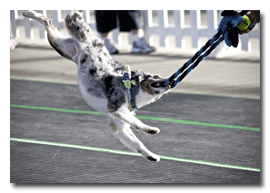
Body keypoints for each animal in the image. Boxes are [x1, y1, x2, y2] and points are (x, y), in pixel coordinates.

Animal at [23, 10, 175, 161]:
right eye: (156, 77)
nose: (171, 81)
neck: (131, 89)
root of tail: (89, 41)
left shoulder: (119, 124)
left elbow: (136, 143)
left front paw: (151, 155)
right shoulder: (116, 108)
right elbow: (137, 121)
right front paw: (151, 129)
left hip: (62, 46)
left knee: (49, 23)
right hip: (60, 40)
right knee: (49, 20)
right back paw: (27, 13)